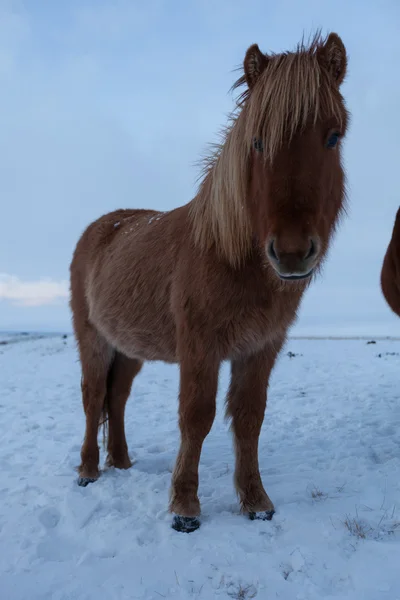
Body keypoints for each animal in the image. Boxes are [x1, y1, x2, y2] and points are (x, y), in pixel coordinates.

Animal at [69, 32, 350, 532]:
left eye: (333, 137)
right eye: (257, 141)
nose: (292, 251)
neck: (228, 254)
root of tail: (101, 228)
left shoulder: (261, 347)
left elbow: (250, 417)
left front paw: (256, 501)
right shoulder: (200, 346)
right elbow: (196, 416)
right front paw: (184, 508)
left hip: (130, 348)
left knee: (117, 398)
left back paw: (121, 462)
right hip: (93, 339)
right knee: (93, 395)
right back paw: (88, 470)